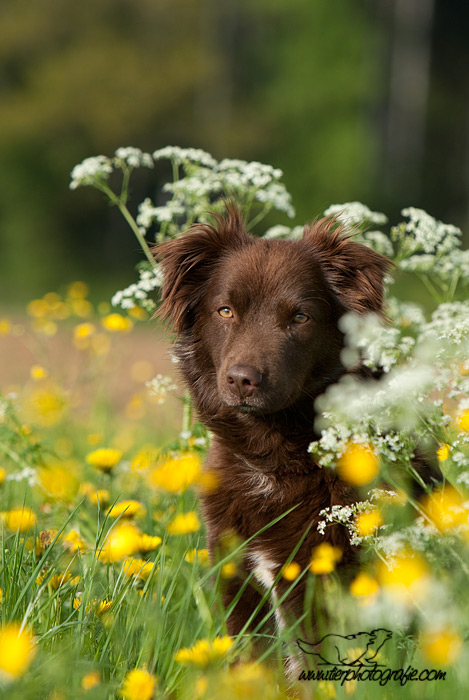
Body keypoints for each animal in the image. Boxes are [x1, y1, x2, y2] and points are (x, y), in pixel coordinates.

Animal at [154, 204, 392, 656]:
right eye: (225, 310)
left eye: (299, 317)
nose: (242, 380)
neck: (271, 463)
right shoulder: (238, 580)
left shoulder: (322, 585)